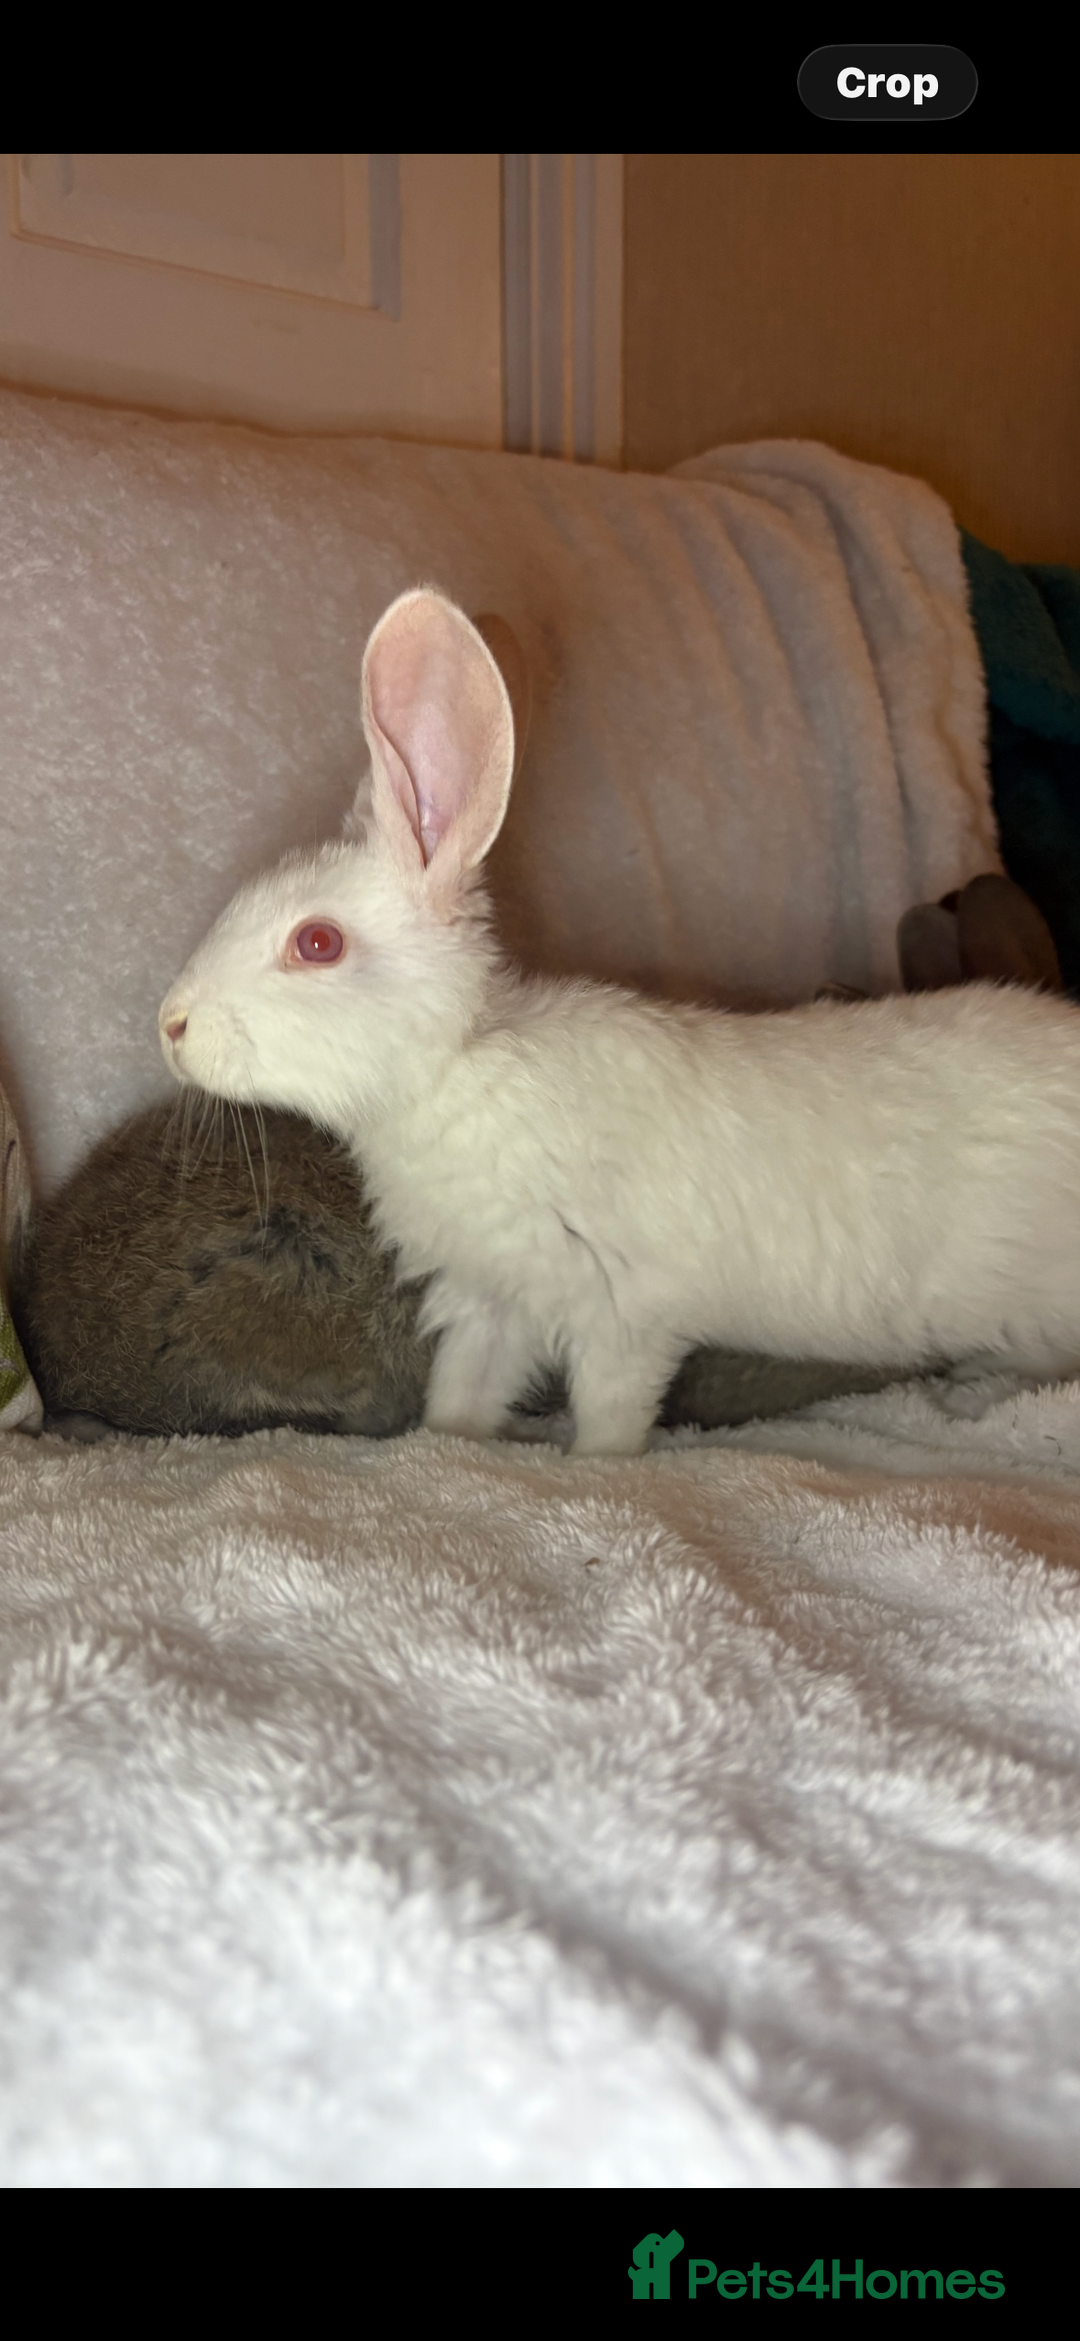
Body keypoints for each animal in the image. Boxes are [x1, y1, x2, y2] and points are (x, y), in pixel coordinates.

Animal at [154, 586, 1080, 1459]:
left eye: (317, 942)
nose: (171, 1023)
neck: (456, 1067)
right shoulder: (493, 1299)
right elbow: (464, 1393)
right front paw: (447, 1444)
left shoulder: (622, 1315)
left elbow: (611, 1411)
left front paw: (593, 1464)